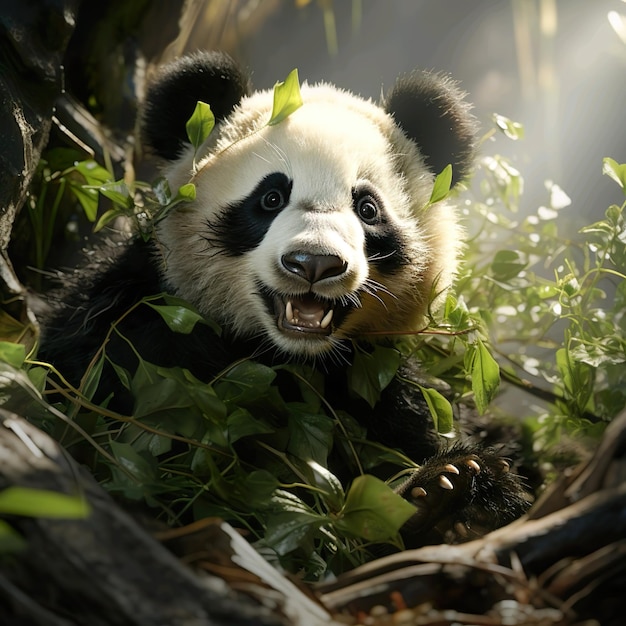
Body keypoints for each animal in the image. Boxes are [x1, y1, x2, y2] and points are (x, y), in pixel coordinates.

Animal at [40, 50, 528, 544]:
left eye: (368, 209)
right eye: (270, 197)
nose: (314, 263)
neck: (286, 355)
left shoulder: (385, 378)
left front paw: (459, 492)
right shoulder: (137, 320)